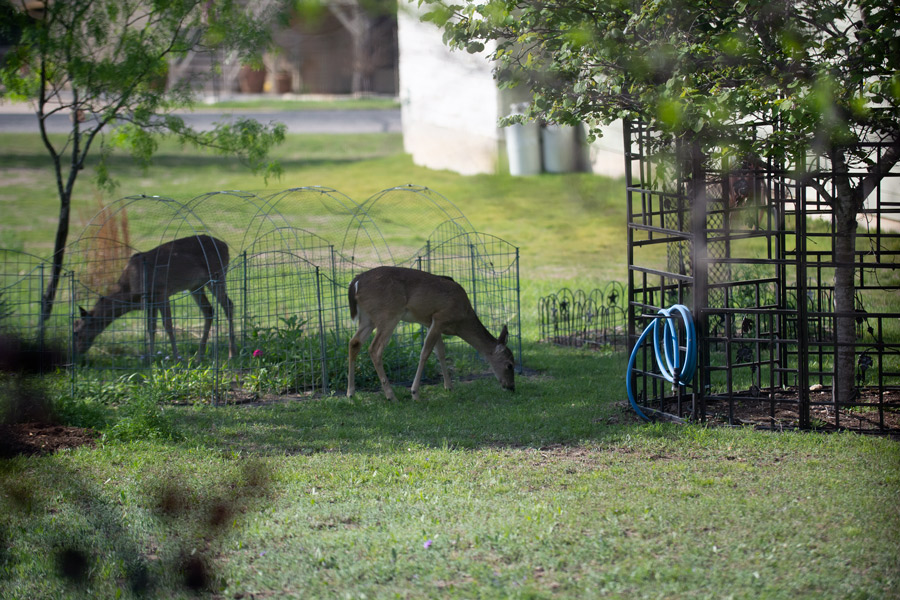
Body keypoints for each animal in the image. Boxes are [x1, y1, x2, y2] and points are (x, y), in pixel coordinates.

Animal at [74, 235, 238, 360]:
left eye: (76, 332)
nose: (77, 351)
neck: (130, 292)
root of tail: (225, 246)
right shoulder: (150, 300)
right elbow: (150, 327)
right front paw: (150, 358)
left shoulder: (161, 292)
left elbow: (167, 325)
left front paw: (177, 358)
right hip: (196, 285)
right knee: (209, 310)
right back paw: (199, 356)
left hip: (217, 275)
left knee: (228, 305)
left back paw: (231, 354)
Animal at [346, 266, 515, 401]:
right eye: (509, 365)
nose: (511, 387)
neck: (462, 319)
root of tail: (356, 282)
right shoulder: (440, 317)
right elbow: (425, 353)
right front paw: (415, 393)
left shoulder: (430, 323)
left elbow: (440, 352)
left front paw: (449, 387)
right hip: (388, 314)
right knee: (375, 349)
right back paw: (390, 395)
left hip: (367, 318)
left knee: (354, 342)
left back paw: (351, 393)